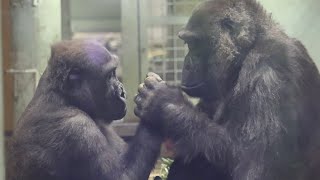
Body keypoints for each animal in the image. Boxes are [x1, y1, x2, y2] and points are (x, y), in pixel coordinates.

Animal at [7, 40, 162, 180]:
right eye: (109, 75)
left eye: (114, 73)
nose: (121, 91)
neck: (66, 97)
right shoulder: (77, 127)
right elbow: (122, 177)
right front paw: (155, 102)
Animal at [134, 0, 320, 180]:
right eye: (187, 43)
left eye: (193, 44)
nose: (186, 64)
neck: (247, 52)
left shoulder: (269, 74)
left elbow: (252, 167)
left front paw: (162, 103)